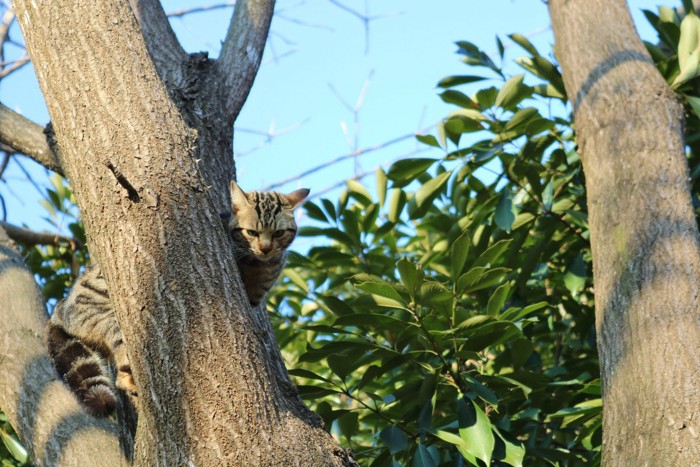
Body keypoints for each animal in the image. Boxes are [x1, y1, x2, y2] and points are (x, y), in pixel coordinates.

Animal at [47, 182, 310, 416]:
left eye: (278, 233)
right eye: (252, 232)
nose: (265, 248)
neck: (258, 266)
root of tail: (61, 306)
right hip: (114, 322)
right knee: (121, 366)